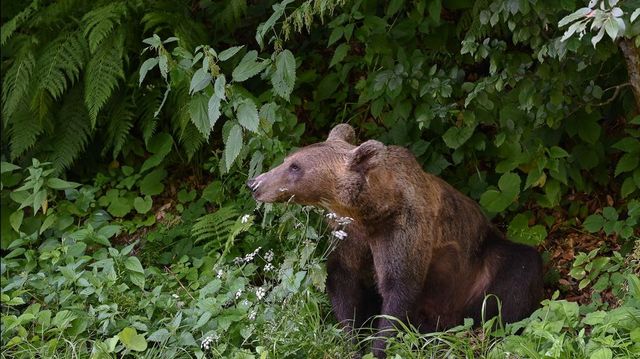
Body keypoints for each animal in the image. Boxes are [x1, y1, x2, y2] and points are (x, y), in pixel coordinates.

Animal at [248, 124, 544, 358]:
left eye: (295, 166)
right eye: (288, 159)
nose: (255, 183)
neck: (373, 211)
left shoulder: (405, 229)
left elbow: (399, 286)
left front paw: (378, 348)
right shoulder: (350, 235)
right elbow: (343, 278)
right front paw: (353, 342)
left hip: (481, 263)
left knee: (520, 270)